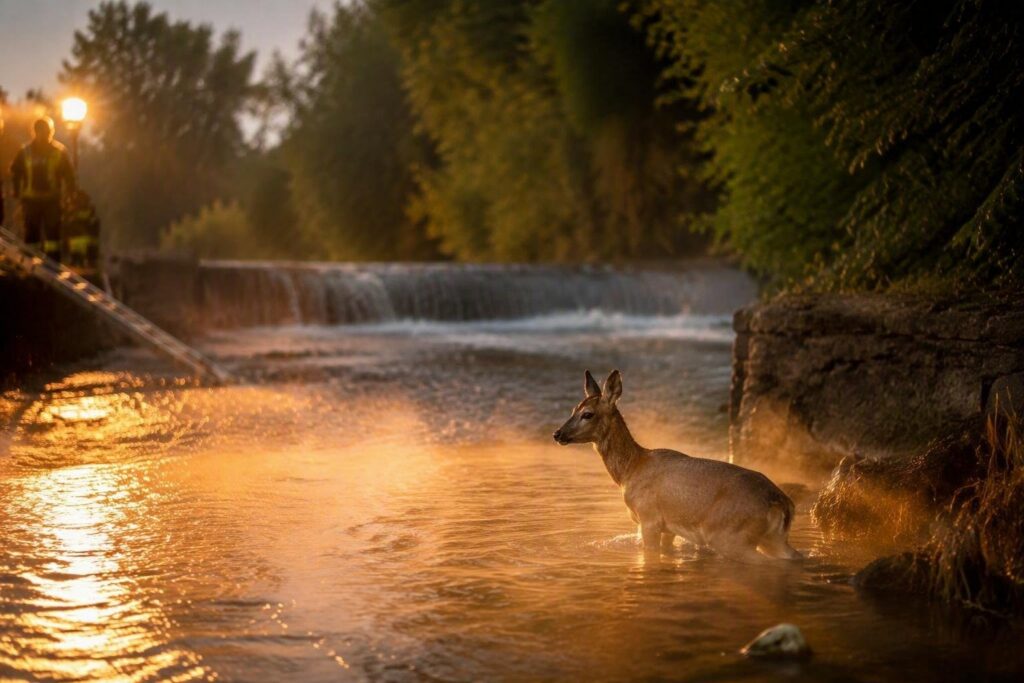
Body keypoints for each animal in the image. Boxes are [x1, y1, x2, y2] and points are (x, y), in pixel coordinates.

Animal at [553, 370, 801, 562]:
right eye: (573, 409)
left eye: (587, 414)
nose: (558, 433)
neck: (631, 470)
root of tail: (781, 502)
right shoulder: (669, 528)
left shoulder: (649, 517)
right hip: (773, 538)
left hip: (732, 535)